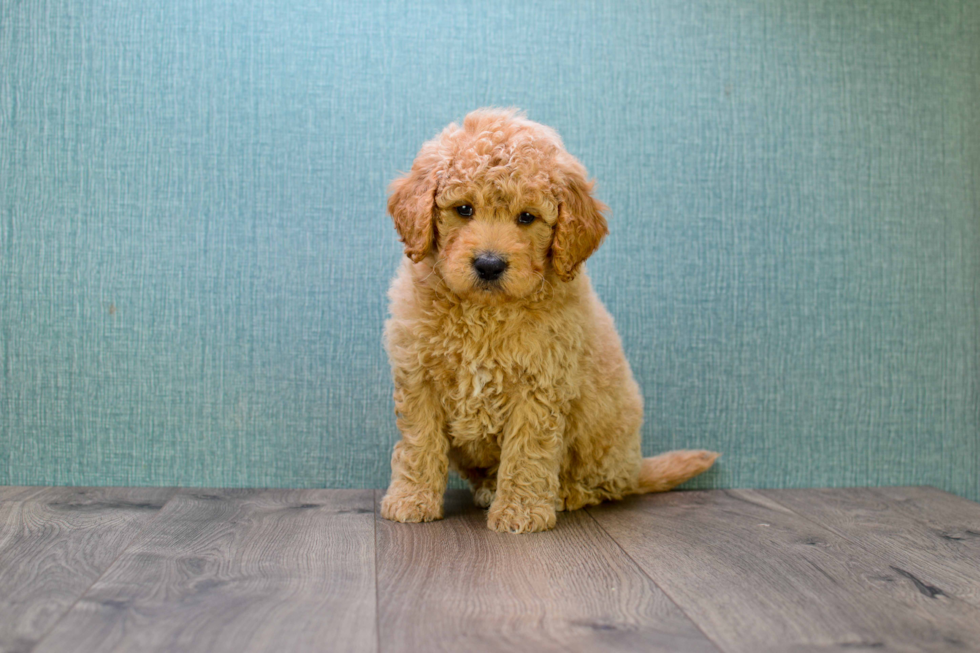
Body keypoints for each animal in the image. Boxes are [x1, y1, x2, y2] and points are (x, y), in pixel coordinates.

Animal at [378, 109, 716, 532]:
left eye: (527, 217)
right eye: (464, 209)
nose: (489, 264)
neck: (484, 312)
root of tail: (636, 467)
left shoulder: (539, 385)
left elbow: (527, 451)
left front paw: (520, 511)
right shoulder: (418, 377)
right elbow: (418, 443)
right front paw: (411, 499)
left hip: (603, 435)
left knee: (605, 485)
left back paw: (562, 495)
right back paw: (488, 490)